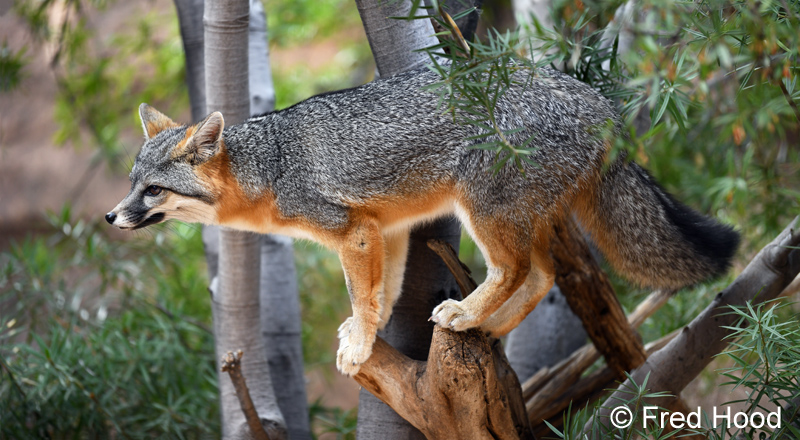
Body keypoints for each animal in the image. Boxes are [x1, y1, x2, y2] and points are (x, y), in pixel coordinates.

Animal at [107, 66, 740, 376]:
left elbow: (363, 294)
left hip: (484, 211)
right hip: (520, 216)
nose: (111, 215)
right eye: (132, 182)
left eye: (153, 191)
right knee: (543, 275)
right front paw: (364, 334)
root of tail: (594, 98)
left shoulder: (352, 231)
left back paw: (467, 313)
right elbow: (381, 292)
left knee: (514, 270)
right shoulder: (382, 229)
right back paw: (488, 329)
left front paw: (361, 345)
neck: (272, 166)